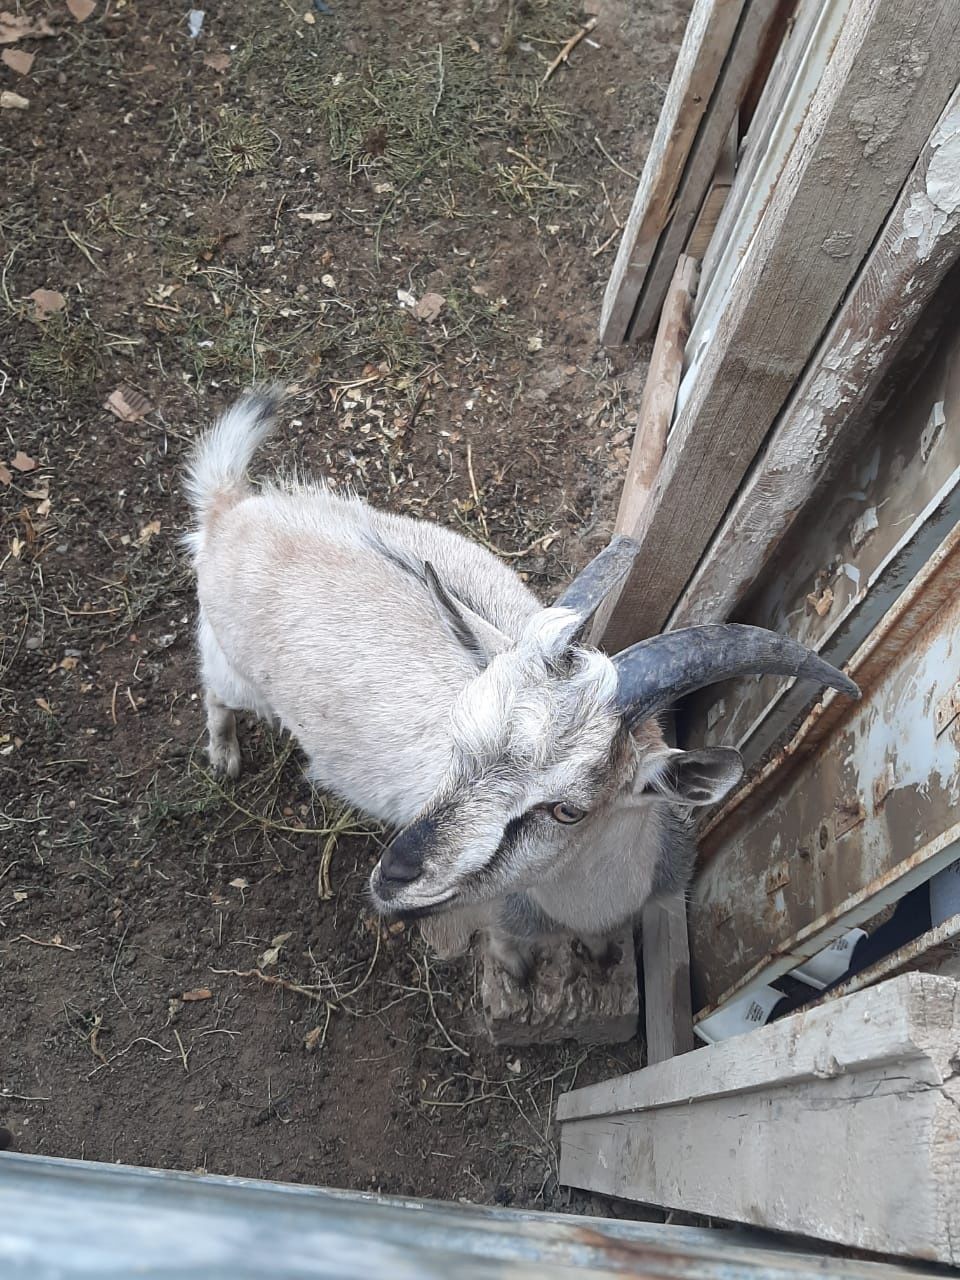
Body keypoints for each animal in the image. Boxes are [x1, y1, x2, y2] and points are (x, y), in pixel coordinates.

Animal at [184, 389, 860, 977]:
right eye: (457, 742)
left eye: (567, 810)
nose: (396, 872)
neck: (588, 901)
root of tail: (232, 513)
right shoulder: (487, 914)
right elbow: (504, 943)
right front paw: (517, 970)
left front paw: (601, 957)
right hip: (236, 669)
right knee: (215, 688)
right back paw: (224, 756)